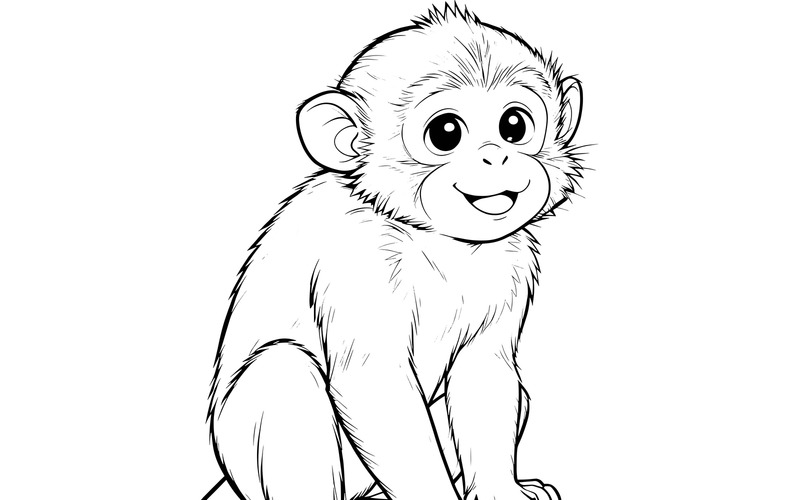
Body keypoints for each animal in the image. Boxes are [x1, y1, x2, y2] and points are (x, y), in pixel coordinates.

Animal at [205, 4, 586, 500]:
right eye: (446, 133)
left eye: (514, 126)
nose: (496, 156)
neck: (440, 243)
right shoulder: (357, 259)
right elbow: (375, 381)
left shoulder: (511, 266)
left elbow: (484, 373)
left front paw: (502, 489)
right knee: (281, 371)